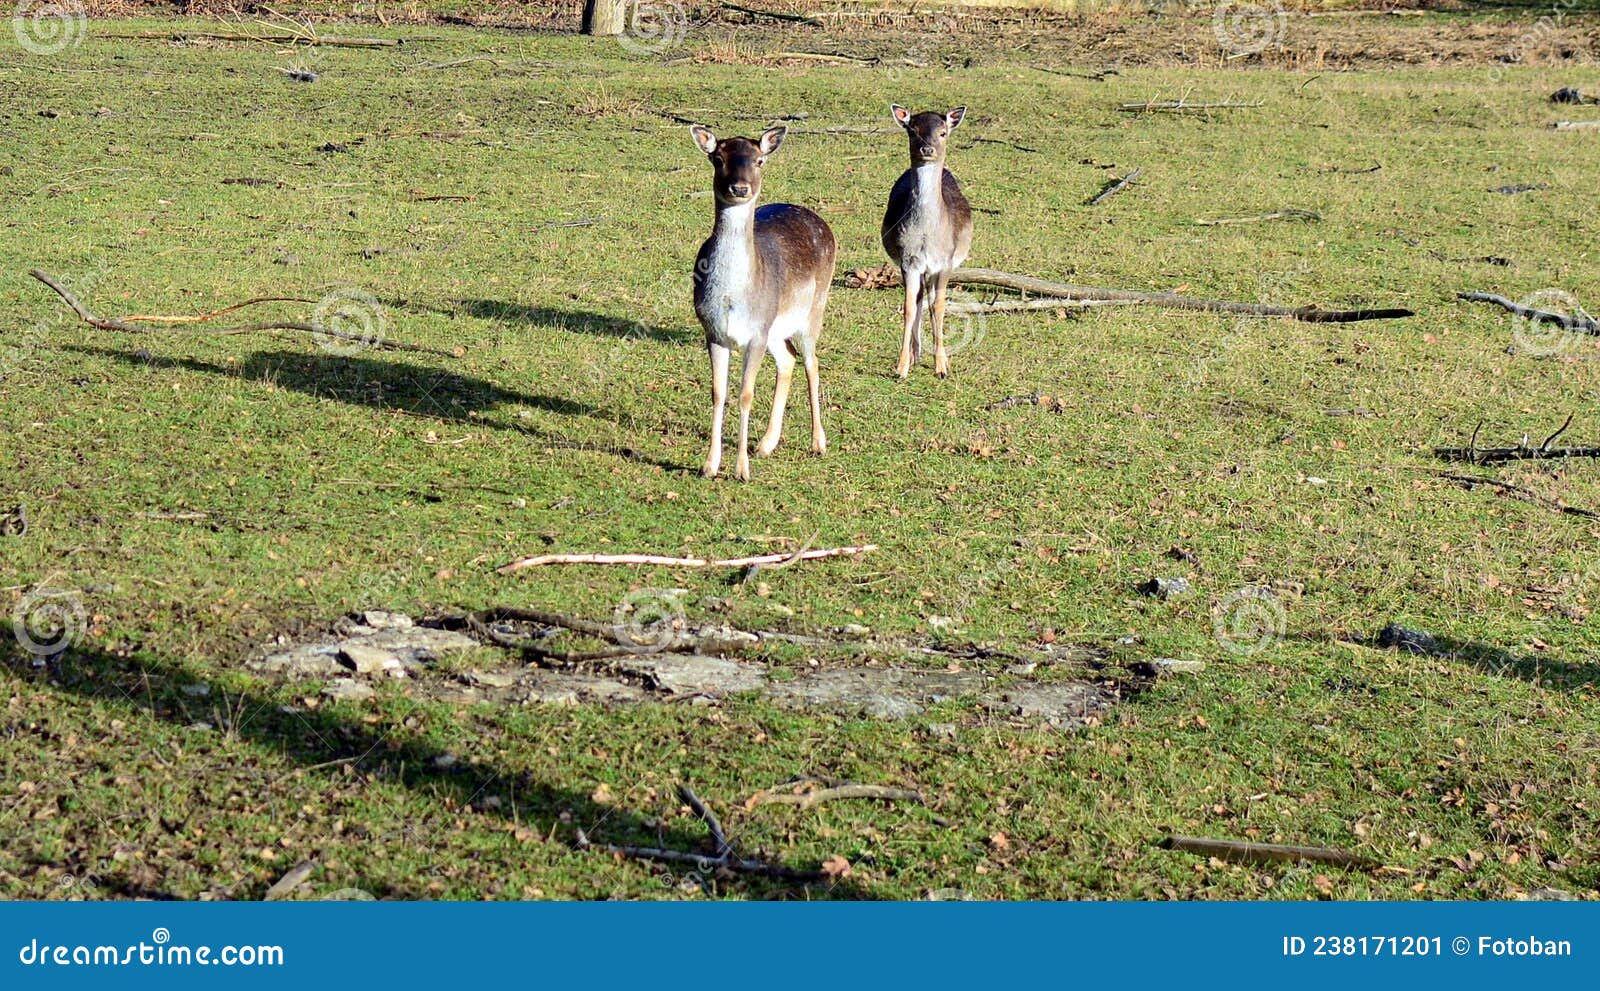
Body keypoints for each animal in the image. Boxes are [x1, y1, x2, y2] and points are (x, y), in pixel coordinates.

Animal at [688, 125, 838, 483]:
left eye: (759, 160)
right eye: (718, 159)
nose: (740, 187)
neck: (732, 297)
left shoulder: (755, 335)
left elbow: (745, 394)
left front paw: (741, 470)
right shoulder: (714, 332)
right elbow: (718, 393)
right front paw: (709, 465)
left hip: (813, 310)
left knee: (811, 362)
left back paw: (818, 442)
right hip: (775, 328)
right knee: (788, 359)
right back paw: (767, 444)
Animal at [876, 105, 972, 379]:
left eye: (942, 132)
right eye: (912, 131)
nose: (927, 149)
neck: (927, 237)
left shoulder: (945, 263)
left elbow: (939, 306)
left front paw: (941, 368)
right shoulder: (908, 261)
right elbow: (909, 307)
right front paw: (901, 367)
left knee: (928, 301)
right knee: (919, 300)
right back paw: (915, 354)